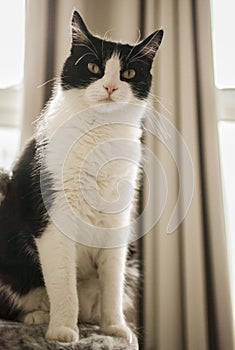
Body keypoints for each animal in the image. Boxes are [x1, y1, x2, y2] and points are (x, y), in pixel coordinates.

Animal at [0, 9, 163, 344]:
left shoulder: (118, 220)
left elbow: (112, 282)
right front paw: (63, 329)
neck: (99, 134)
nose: (111, 88)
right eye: (94, 67)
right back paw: (39, 316)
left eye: (128, 73)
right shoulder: (54, 215)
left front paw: (115, 328)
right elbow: (63, 282)